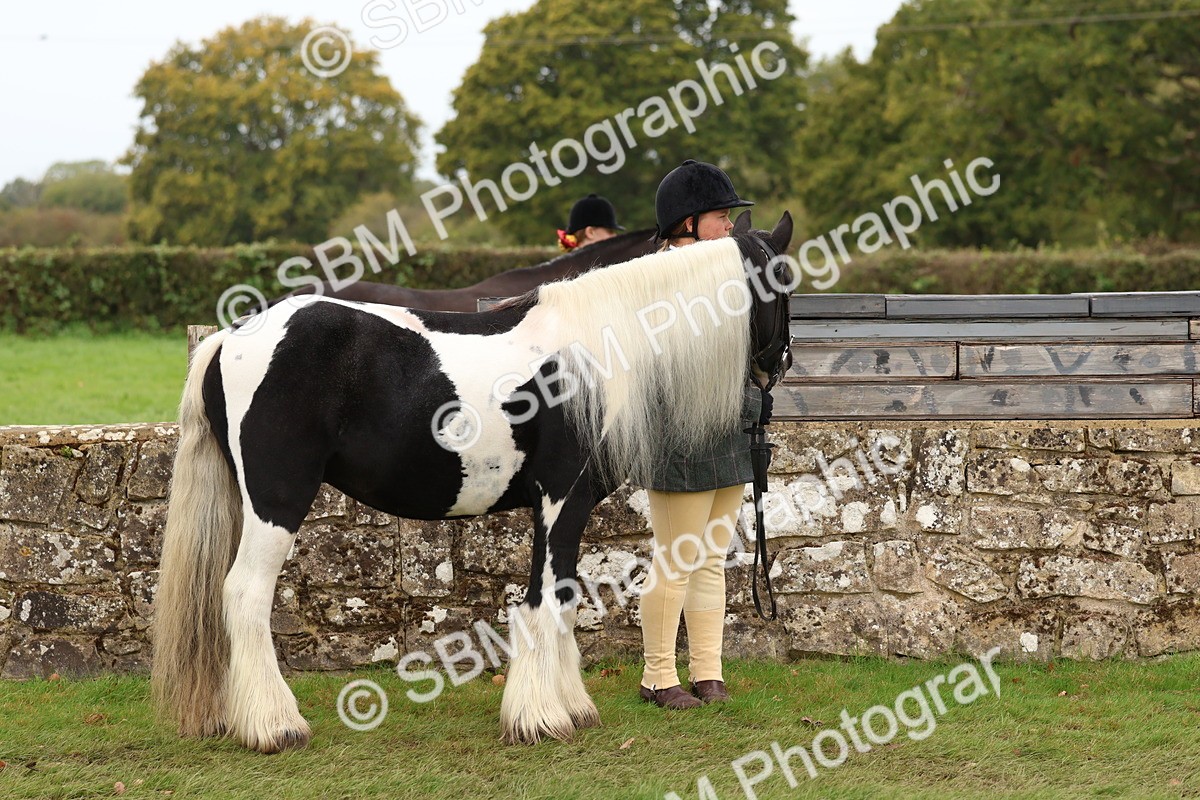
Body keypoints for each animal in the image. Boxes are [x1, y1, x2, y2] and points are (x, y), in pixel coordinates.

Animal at [151, 218, 794, 754]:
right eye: (783, 282)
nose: (779, 365)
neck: (594, 349)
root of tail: (230, 337)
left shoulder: (566, 506)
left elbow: (562, 597)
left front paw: (572, 708)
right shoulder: (561, 499)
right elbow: (543, 600)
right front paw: (540, 718)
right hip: (277, 501)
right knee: (243, 596)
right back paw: (275, 726)